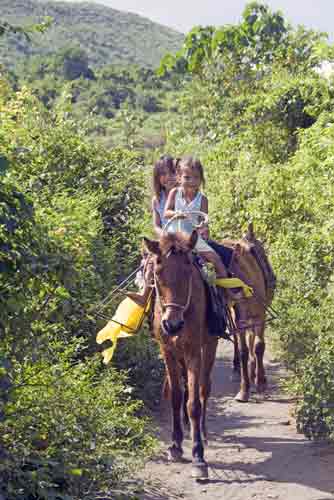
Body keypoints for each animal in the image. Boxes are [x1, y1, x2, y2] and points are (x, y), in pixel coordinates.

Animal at [144, 230, 219, 480]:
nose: (173, 324)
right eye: (157, 273)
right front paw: (176, 445)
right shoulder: (167, 350)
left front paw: (198, 455)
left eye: (188, 271)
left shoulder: (194, 351)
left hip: (210, 344)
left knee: (204, 387)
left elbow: (193, 403)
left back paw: (203, 431)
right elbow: (177, 396)